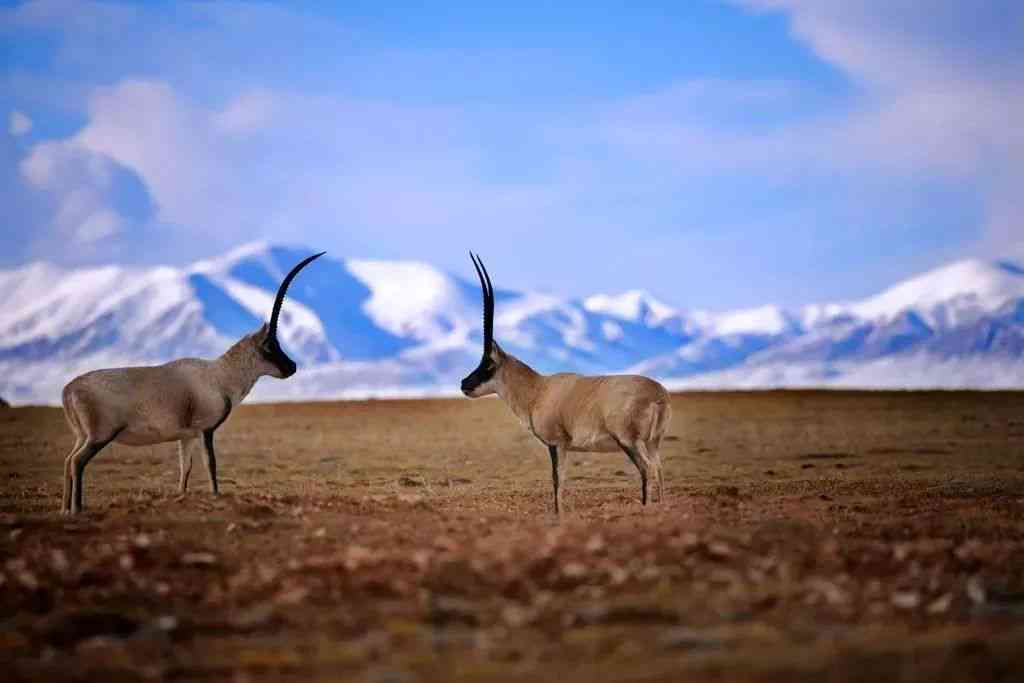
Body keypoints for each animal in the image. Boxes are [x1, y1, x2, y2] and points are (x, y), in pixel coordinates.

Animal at [60, 250, 323, 511]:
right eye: (269, 346)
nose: (292, 367)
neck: (220, 375)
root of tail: (69, 390)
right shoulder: (205, 430)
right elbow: (210, 462)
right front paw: (216, 495)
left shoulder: (186, 436)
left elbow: (185, 468)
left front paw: (181, 497)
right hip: (100, 436)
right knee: (77, 462)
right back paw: (76, 508)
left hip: (82, 436)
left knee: (68, 460)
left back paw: (64, 509)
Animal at [458, 255, 667, 511]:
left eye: (487, 363)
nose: (464, 383)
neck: (537, 390)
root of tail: (658, 394)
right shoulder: (564, 446)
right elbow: (562, 478)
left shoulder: (556, 443)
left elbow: (557, 478)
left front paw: (558, 512)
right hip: (653, 442)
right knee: (659, 469)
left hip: (629, 442)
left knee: (646, 468)